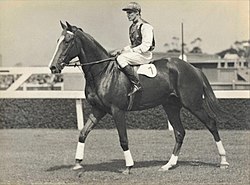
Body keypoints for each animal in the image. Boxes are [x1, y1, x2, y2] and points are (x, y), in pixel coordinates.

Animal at [48, 21, 229, 173]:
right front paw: (78, 163)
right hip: (171, 106)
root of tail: (193, 68)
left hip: (193, 104)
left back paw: (223, 161)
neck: (103, 72)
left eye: (67, 41)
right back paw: (169, 165)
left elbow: (123, 139)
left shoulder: (117, 111)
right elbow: (83, 133)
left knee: (211, 124)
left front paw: (128, 166)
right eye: (57, 40)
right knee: (180, 132)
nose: (53, 67)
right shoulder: (98, 110)